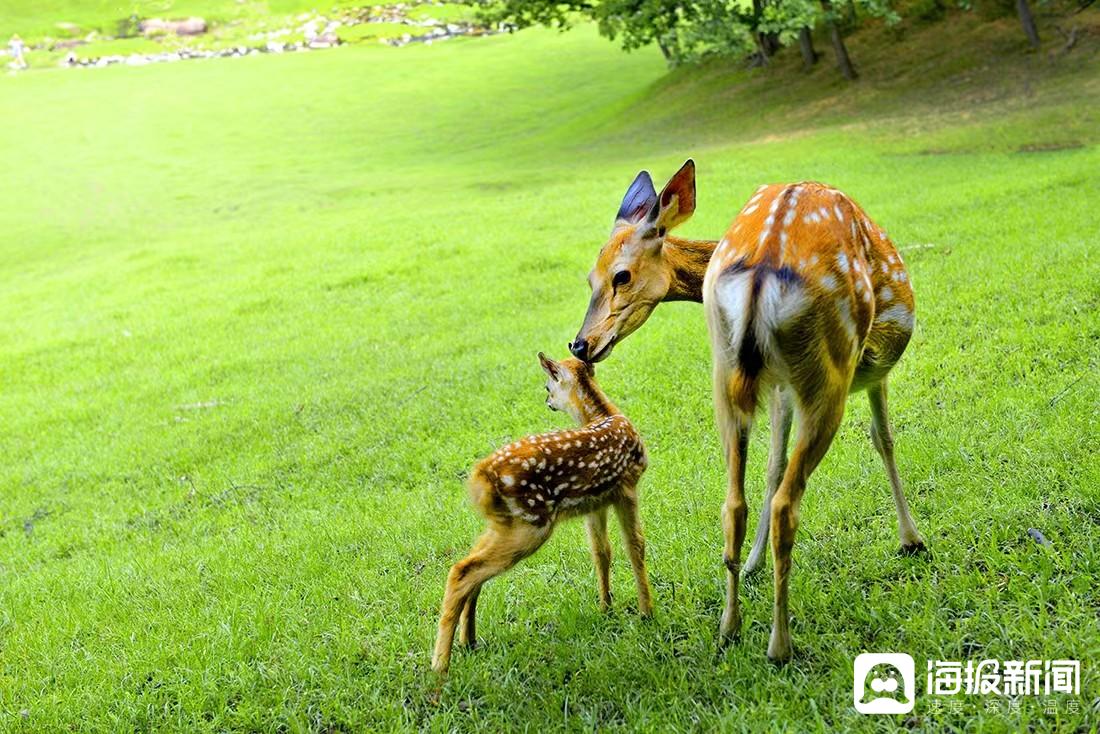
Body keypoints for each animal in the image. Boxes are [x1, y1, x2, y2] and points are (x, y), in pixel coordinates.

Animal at [572, 159, 924, 660]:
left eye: (618, 275)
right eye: (591, 278)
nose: (580, 344)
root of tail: (762, 270)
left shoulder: (777, 386)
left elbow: (774, 463)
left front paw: (753, 565)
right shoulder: (865, 371)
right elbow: (883, 438)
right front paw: (911, 539)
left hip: (726, 371)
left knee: (734, 501)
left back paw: (729, 625)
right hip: (829, 369)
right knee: (786, 504)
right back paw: (780, 643)